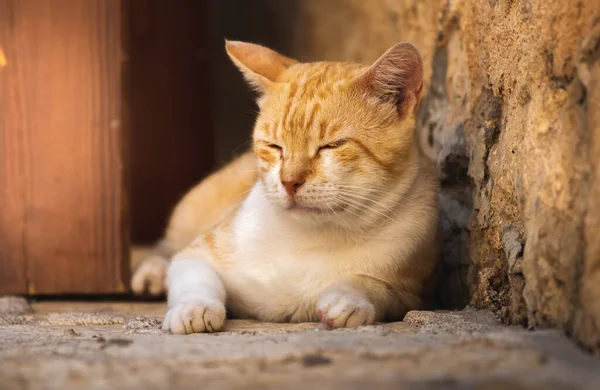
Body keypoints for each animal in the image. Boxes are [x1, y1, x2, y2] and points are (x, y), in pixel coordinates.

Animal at [131, 39, 440, 334]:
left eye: (332, 146)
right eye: (274, 147)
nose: (290, 181)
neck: (314, 236)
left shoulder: (411, 292)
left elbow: (372, 285)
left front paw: (348, 300)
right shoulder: (199, 252)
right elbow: (194, 277)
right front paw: (194, 309)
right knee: (167, 246)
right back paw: (152, 273)